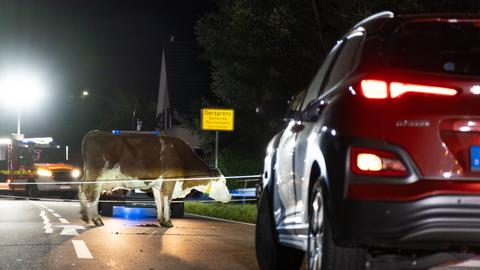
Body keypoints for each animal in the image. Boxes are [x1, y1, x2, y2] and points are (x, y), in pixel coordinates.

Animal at [79, 130, 232, 227]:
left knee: (81, 188)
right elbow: (167, 200)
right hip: (97, 176)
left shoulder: (158, 185)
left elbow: (159, 201)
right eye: (223, 182)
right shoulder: (170, 181)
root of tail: (93, 133)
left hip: (89, 174)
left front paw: (160, 220)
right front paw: (168, 222)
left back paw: (85, 216)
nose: (230, 197)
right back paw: (96, 220)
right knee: (93, 195)